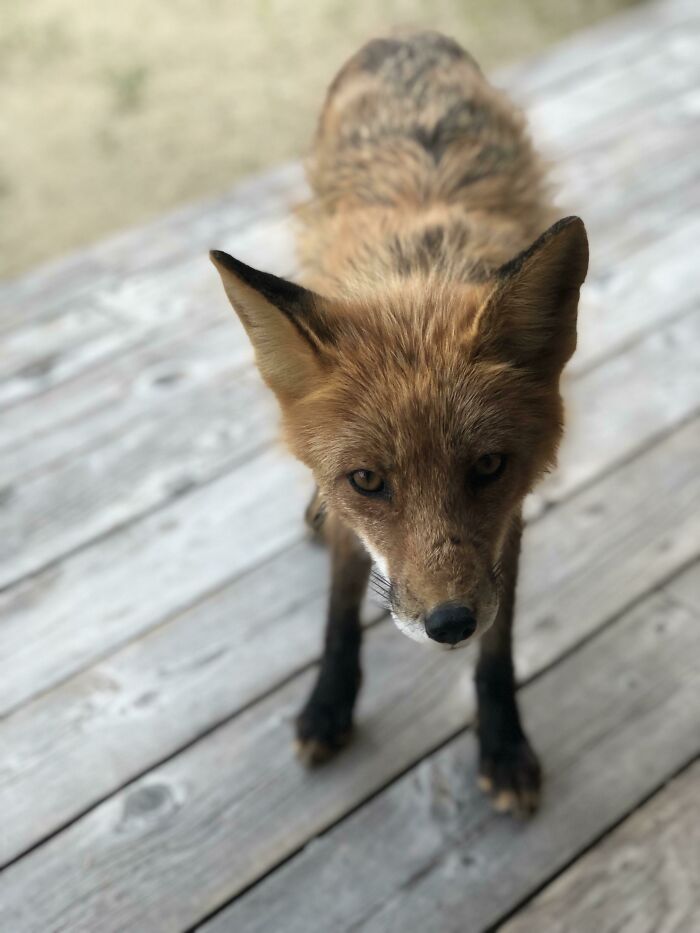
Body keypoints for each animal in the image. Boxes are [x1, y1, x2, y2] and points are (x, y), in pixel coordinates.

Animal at [210, 33, 588, 817]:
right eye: (367, 480)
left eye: (488, 466)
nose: (449, 624)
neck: (418, 271)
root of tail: (406, 37)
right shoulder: (354, 516)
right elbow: (339, 609)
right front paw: (329, 703)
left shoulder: (506, 524)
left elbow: (500, 649)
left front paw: (503, 742)